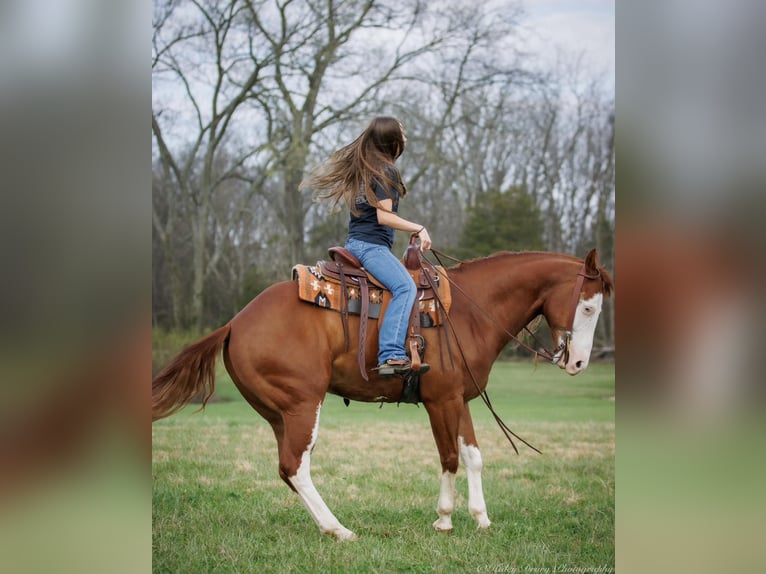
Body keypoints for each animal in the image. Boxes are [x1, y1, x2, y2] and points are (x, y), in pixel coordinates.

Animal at [153, 250, 616, 544]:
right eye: (588, 308)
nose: (578, 363)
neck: (468, 312)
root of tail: (234, 324)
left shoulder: (460, 399)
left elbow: (473, 456)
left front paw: (481, 518)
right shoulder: (441, 402)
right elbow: (449, 457)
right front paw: (444, 520)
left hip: (278, 414)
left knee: (288, 470)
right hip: (302, 406)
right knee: (296, 466)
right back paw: (338, 530)